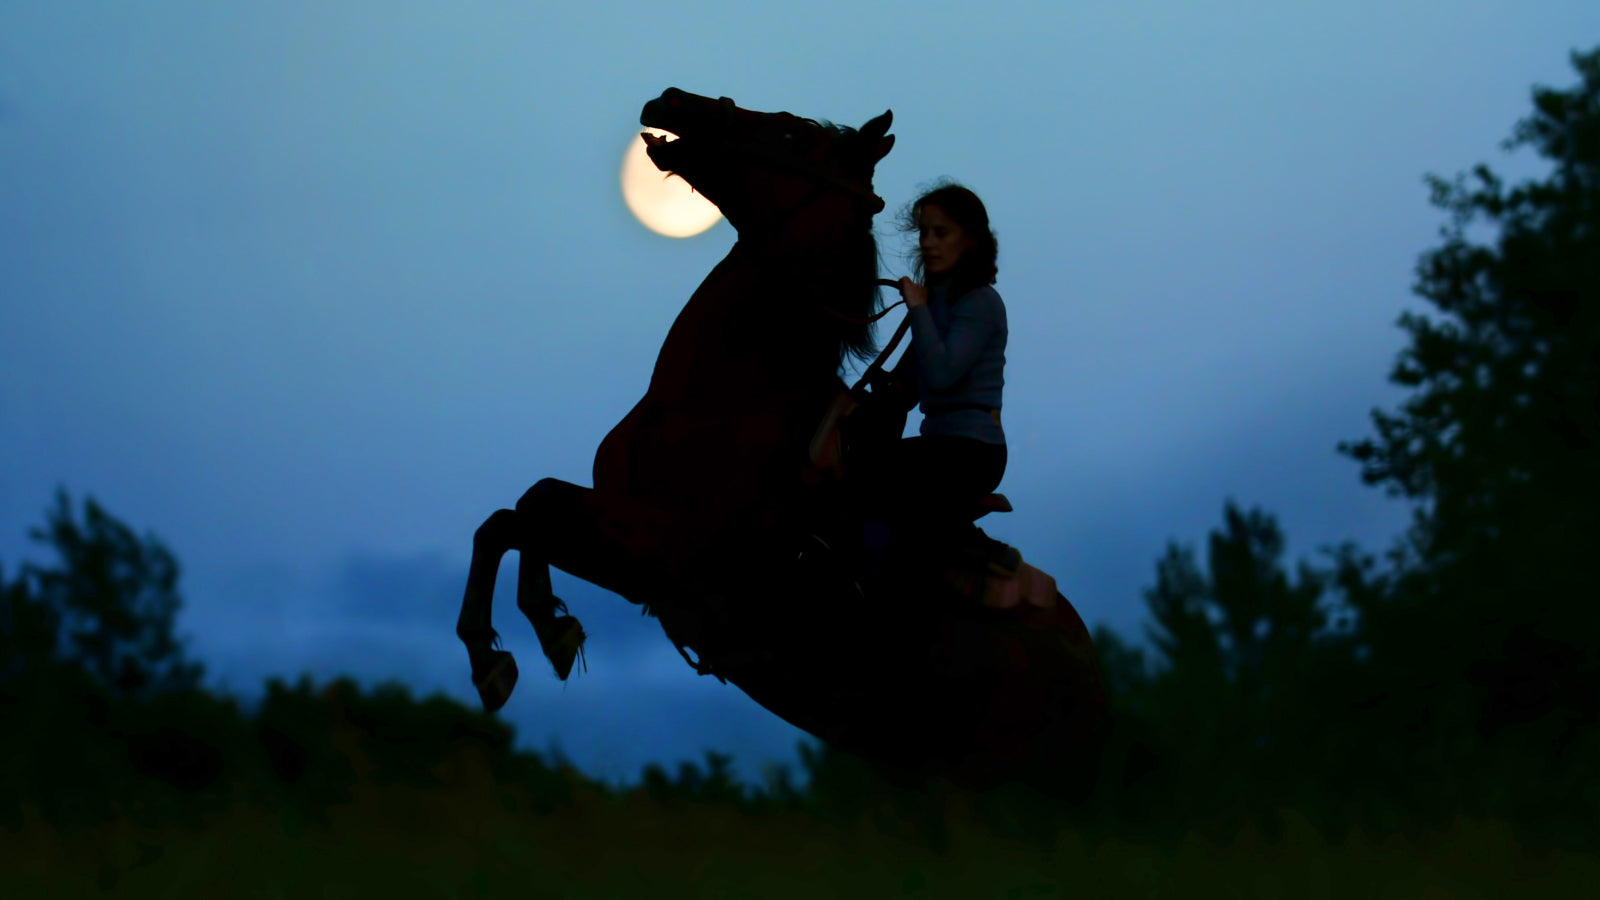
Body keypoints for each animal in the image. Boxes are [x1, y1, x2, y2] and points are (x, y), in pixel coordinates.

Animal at [457, 89, 1107, 791]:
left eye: (795, 137)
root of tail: (1097, 682)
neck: (727, 395)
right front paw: (517, 643)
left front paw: (532, 637)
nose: (672, 101)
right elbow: (514, 514)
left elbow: (535, 507)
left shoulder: (662, 554)